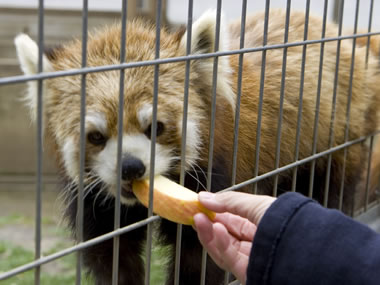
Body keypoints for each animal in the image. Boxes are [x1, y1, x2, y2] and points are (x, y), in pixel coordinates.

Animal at [14, 8, 380, 284]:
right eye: (96, 136)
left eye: (155, 127)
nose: (131, 166)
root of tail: (340, 33)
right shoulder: (97, 205)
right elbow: (113, 256)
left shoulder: (217, 171)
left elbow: (198, 260)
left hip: (338, 137)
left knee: (332, 187)